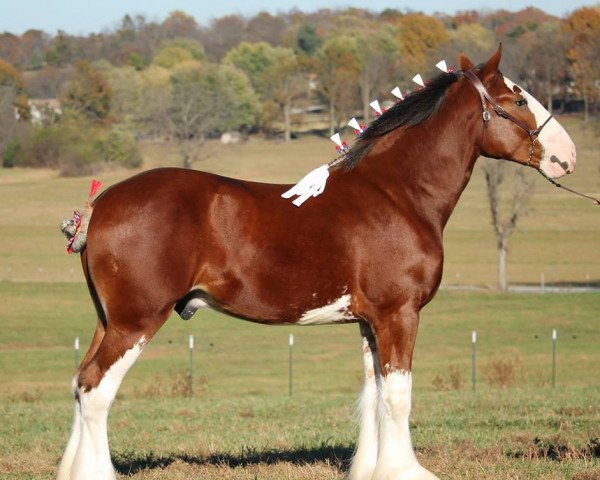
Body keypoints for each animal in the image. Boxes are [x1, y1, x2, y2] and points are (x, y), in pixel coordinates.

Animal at [58, 48, 576, 480]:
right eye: (518, 98)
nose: (568, 156)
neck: (396, 193)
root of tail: (101, 205)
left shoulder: (370, 322)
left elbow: (373, 395)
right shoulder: (399, 314)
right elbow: (397, 396)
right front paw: (406, 471)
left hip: (108, 321)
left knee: (80, 384)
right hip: (136, 322)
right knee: (97, 389)